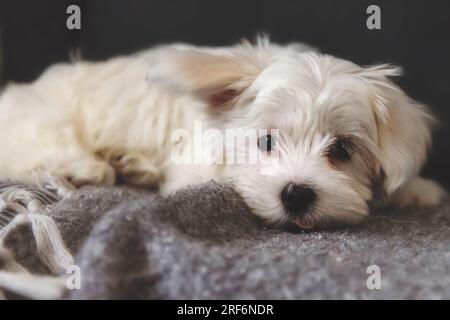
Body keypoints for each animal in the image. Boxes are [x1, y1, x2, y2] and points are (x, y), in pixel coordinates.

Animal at [0, 38, 444, 228]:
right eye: (266, 142)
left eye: (343, 150)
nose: (297, 194)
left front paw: (417, 190)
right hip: (45, 119)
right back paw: (88, 168)